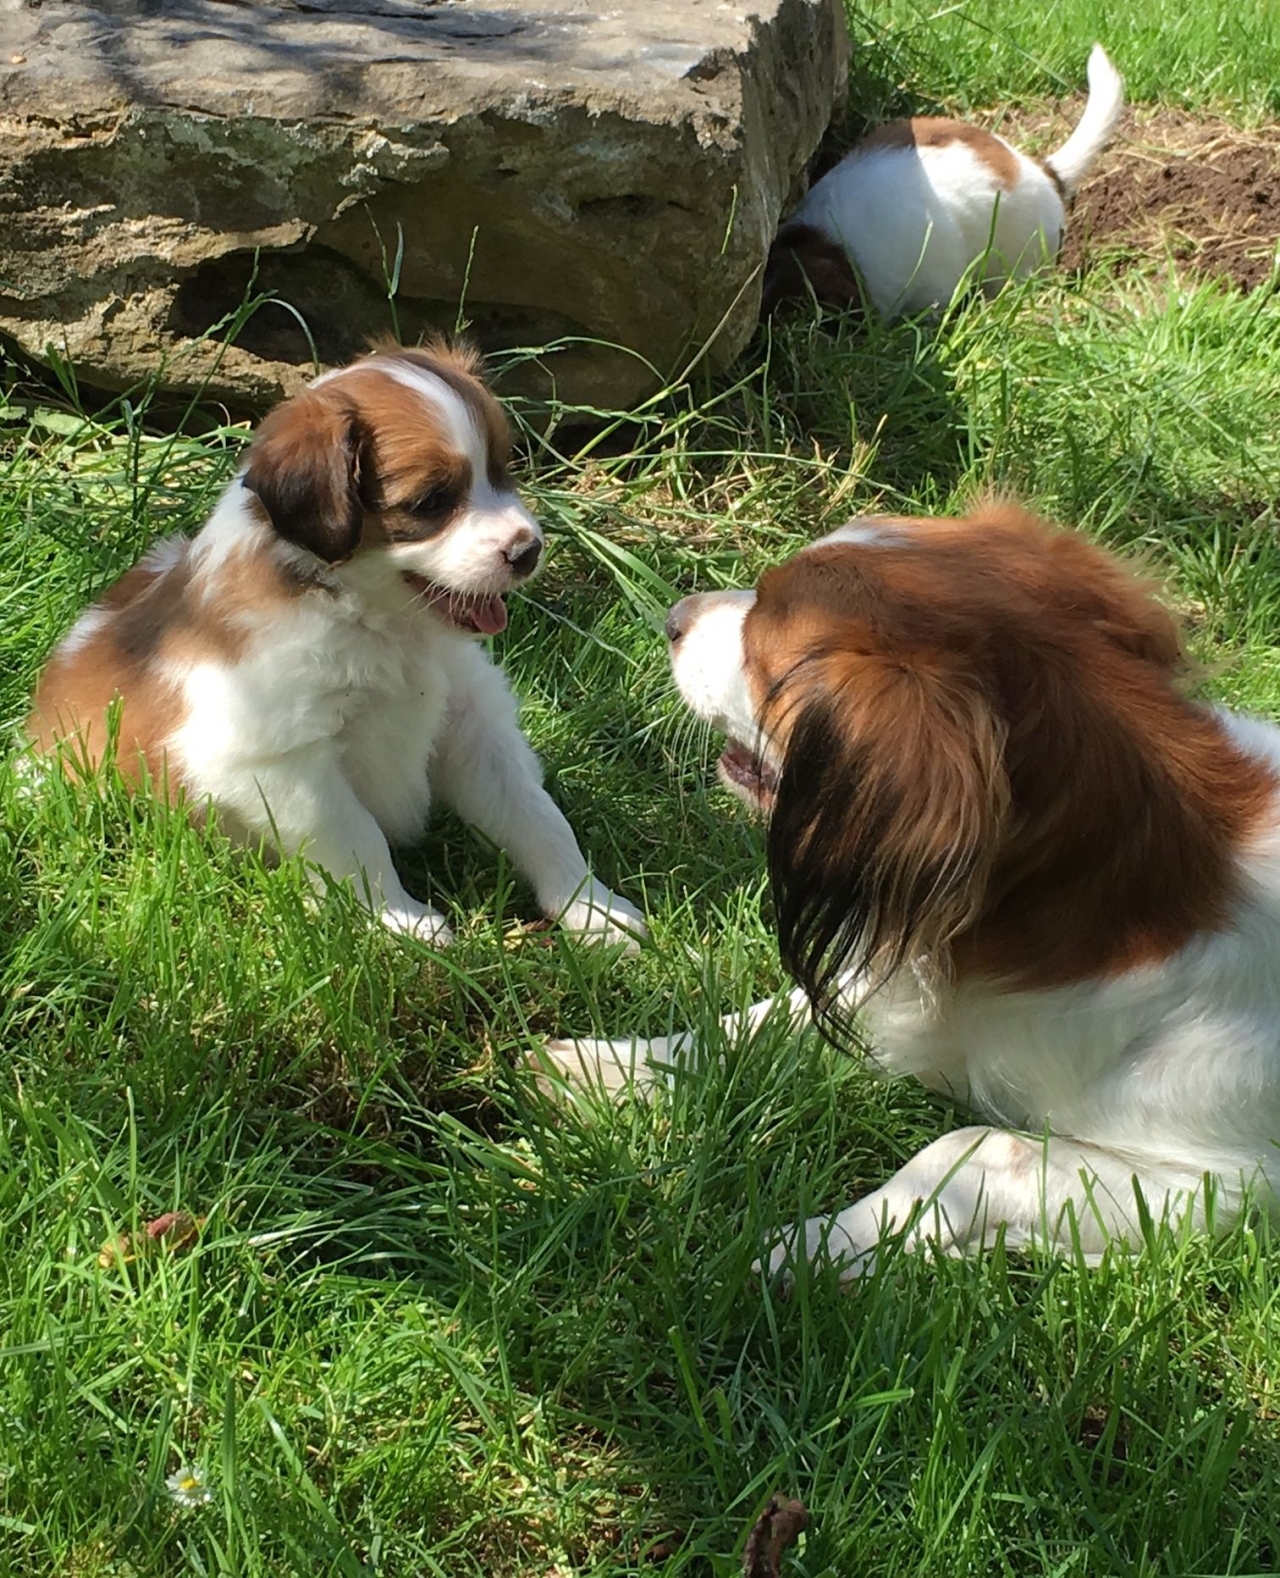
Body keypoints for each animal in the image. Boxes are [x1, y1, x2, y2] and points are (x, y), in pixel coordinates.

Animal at [29, 342, 650, 946]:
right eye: (430, 503)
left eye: (502, 470)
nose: (528, 550)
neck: (379, 622)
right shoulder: (281, 760)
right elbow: (359, 839)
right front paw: (401, 922)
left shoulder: (473, 725)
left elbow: (538, 818)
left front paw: (592, 909)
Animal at [542, 504, 1280, 1281]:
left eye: (763, 644)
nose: (673, 616)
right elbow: (764, 1022)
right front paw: (610, 1067)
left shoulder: (1225, 1184)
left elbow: (973, 1148)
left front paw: (806, 1252)